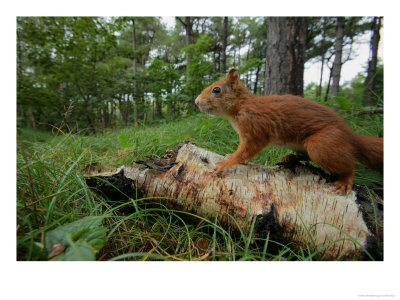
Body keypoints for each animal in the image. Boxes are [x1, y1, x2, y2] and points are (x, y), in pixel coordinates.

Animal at [195, 68, 382, 195]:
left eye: (216, 89)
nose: (196, 101)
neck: (241, 105)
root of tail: (350, 136)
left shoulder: (255, 127)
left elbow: (247, 150)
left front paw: (227, 162)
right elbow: (245, 154)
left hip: (321, 145)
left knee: (350, 165)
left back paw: (345, 180)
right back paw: (291, 157)